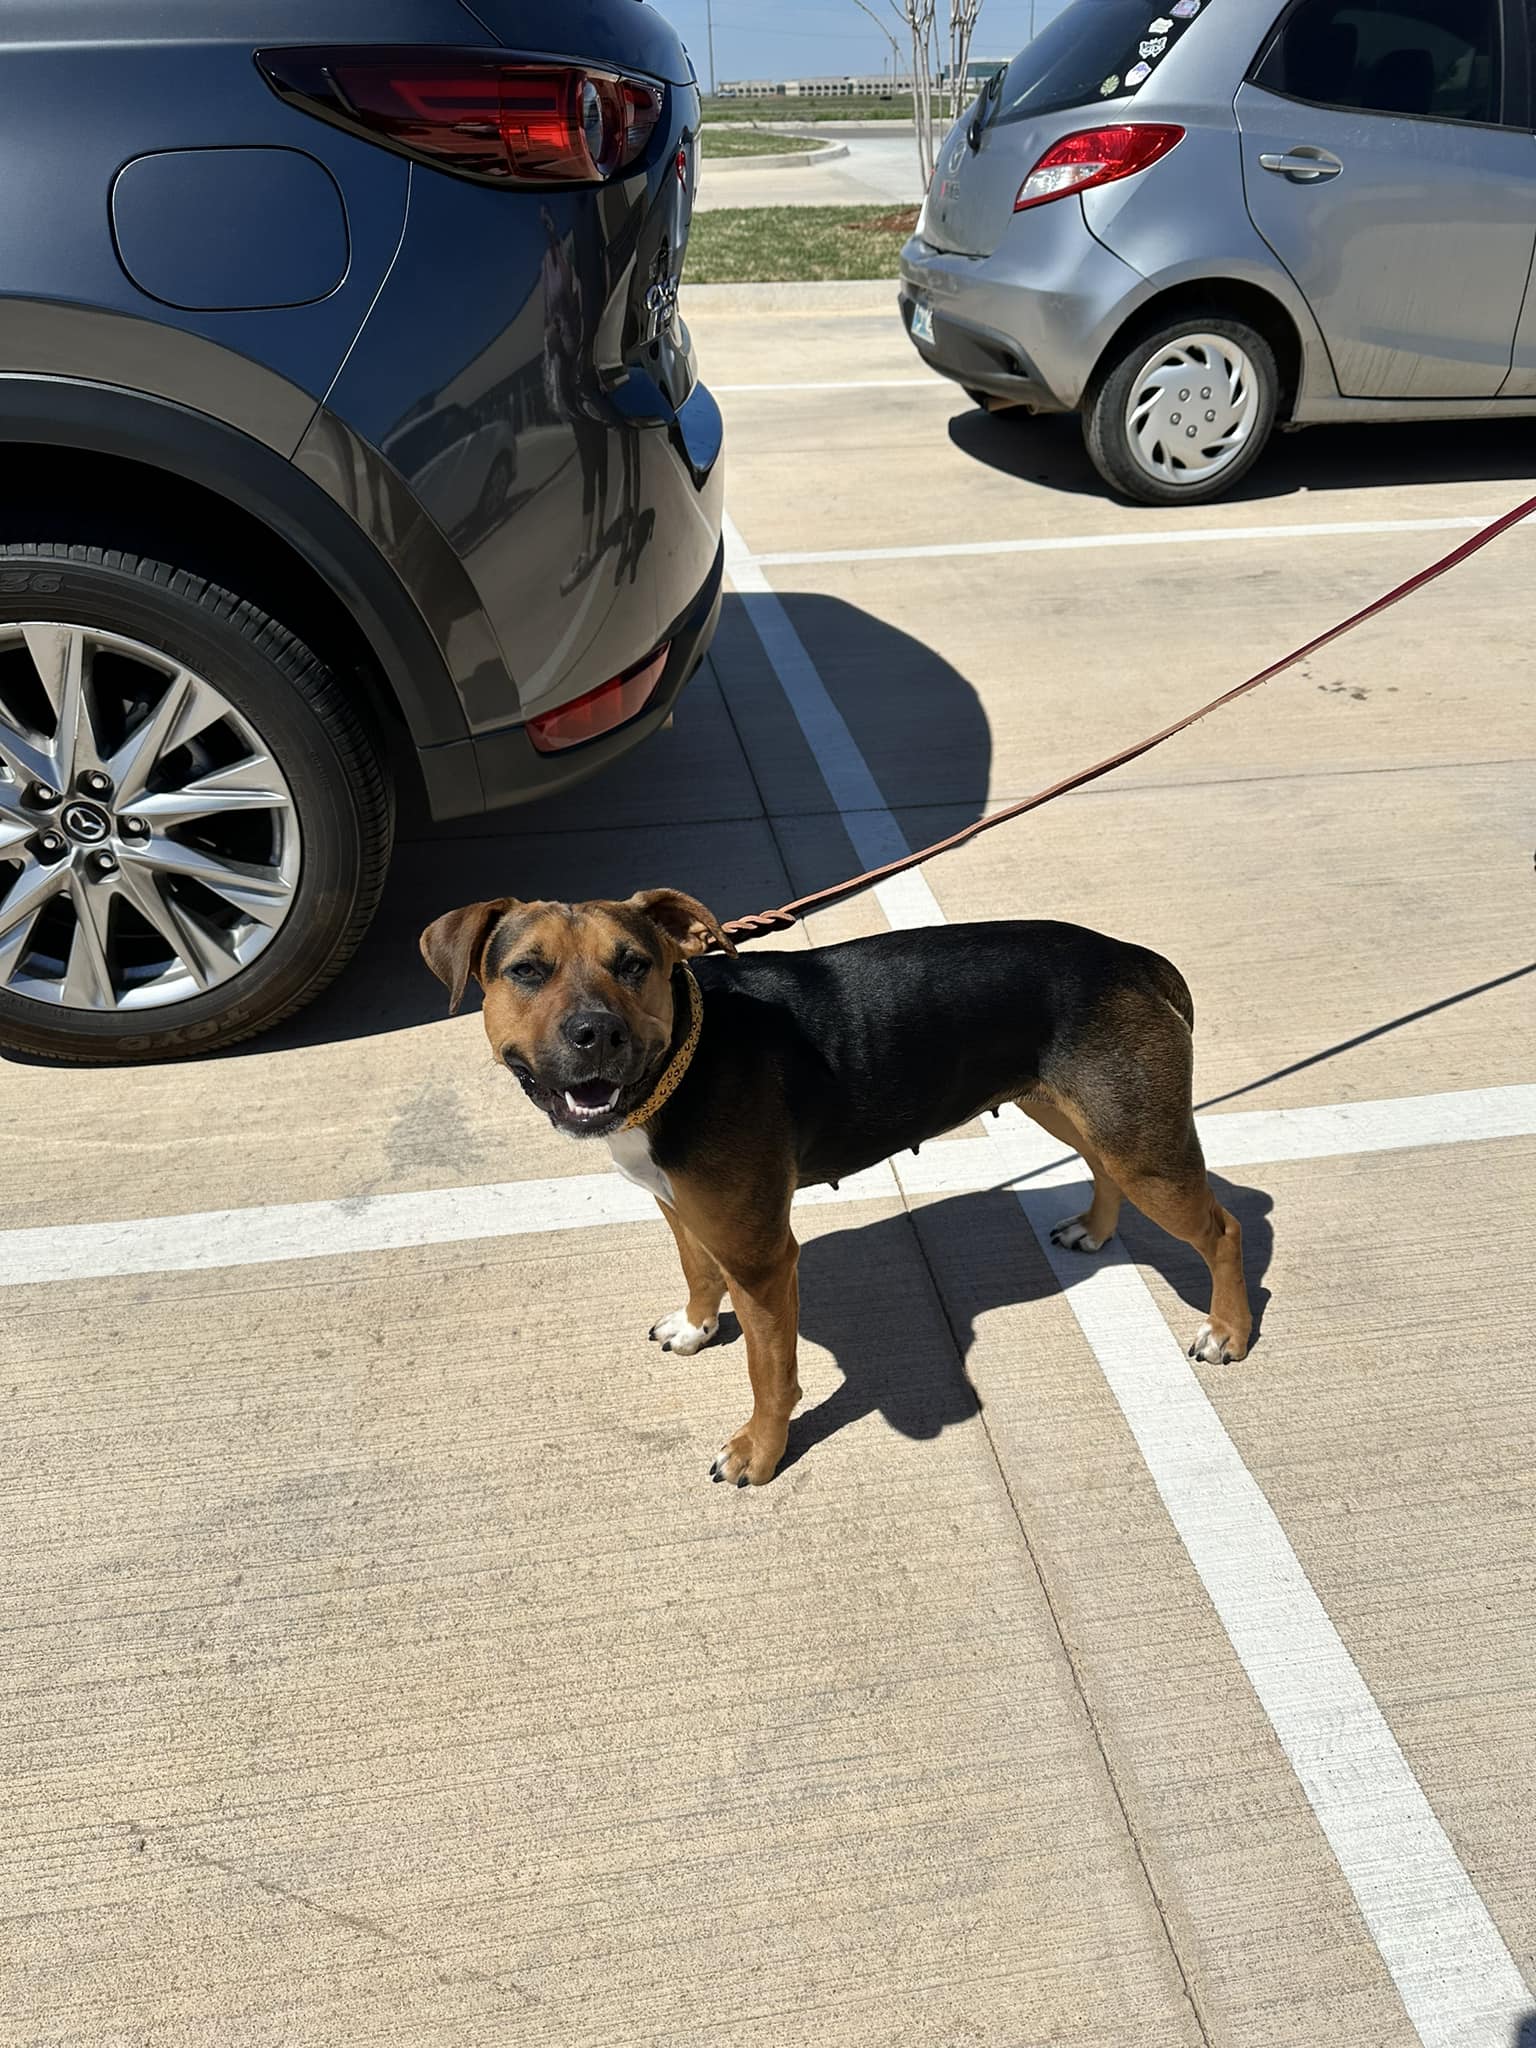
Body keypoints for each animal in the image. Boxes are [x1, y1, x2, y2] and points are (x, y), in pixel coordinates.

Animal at [421, 897, 1253, 1490]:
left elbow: (770, 1374)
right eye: (527, 971)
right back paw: (1097, 1229)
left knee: (1224, 1229)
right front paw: (696, 1327)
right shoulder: (681, 1207)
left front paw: (758, 1453)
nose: (595, 1033)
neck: (686, 1053)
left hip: (1141, 1146)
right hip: (1069, 1109)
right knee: (1103, 1166)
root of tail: (1135, 959)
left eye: (634, 965)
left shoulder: (761, 1258)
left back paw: (1229, 1332)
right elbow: (696, 1271)